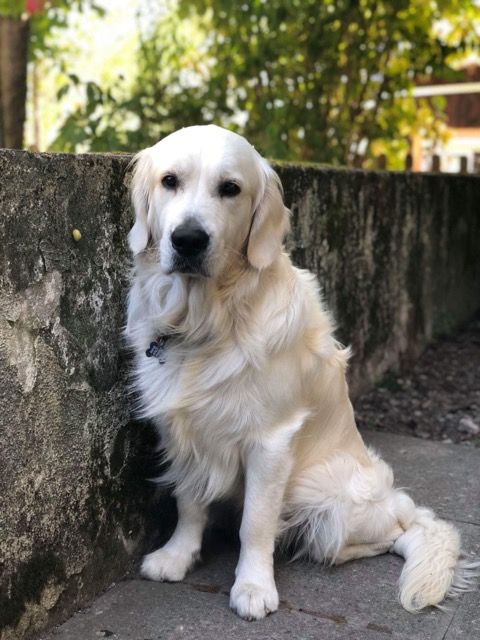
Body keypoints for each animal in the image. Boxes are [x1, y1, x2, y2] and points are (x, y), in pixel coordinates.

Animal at [125, 124, 478, 620]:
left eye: (230, 188)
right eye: (169, 181)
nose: (188, 239)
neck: (208, 320)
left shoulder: (272, 440)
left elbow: (255, 522)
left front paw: (254, 586)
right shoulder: (184, 430)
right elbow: (189, 500)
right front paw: (178, 555)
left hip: (319, 491)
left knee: (394, 532)